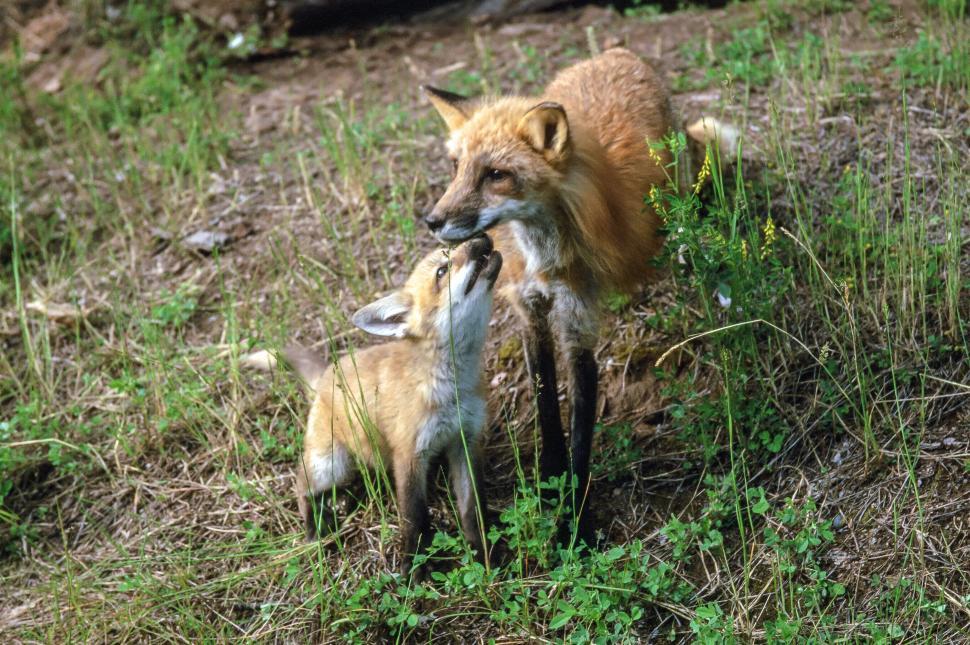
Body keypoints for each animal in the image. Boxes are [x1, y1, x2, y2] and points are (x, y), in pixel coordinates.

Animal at [247, 236, 502, 576]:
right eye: (442, 270)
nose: (482, 238)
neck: (452, 390)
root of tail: (329, 371)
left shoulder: (465, 441)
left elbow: (473, 510)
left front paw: (483, 553)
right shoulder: (409, 454)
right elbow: (414, 519)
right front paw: (414, 569)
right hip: (331, 464)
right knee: (302, 485)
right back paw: (316, 526)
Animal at [422, 48, 737, 543]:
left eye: (496, 175)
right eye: (457, 168)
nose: (432, 221)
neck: (544, 258)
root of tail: (616, 51)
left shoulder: (577, 321)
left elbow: (581, 429)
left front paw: (575, 521)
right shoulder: (530, 311)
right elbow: (546, 404)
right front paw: (550, 480)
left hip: (677, 189)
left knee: (685, 216)